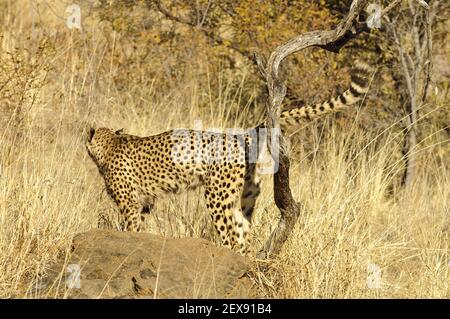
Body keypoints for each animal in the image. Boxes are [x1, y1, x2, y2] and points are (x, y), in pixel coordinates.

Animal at [86, 61, 370, 254]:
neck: (108, 145)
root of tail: (237, 135)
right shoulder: (145, 202)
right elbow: (138, 226)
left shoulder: (130, 204)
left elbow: (130, 227)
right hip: (243, 197)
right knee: (243, 234)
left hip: (216, 196)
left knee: (231, 236)